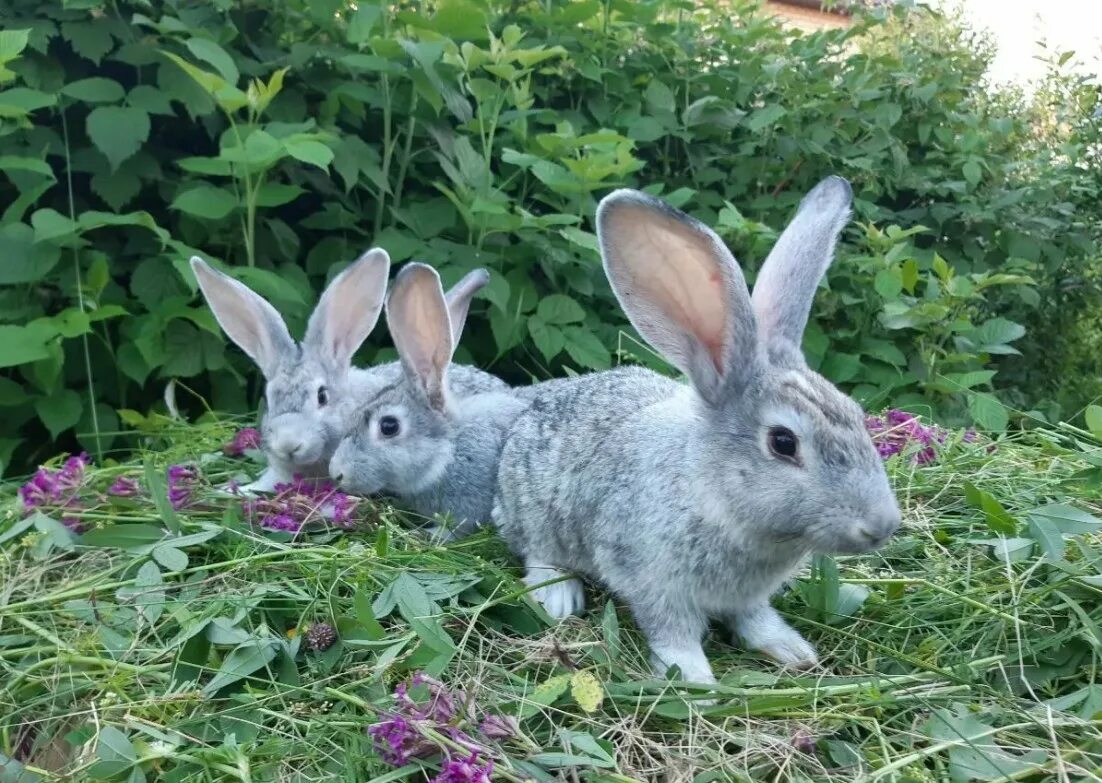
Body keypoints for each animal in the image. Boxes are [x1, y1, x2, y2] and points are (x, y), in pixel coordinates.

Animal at [495, 177, 899, 687]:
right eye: (783, 442)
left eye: (855, 413)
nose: (882, 525)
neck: (714, 496)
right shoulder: (653, 583)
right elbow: (673, 632)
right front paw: (696, 679)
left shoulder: (748, 597)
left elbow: (755, 618)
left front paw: (792, 650)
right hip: (535, 512)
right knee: (535, 551)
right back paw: (559, 597)